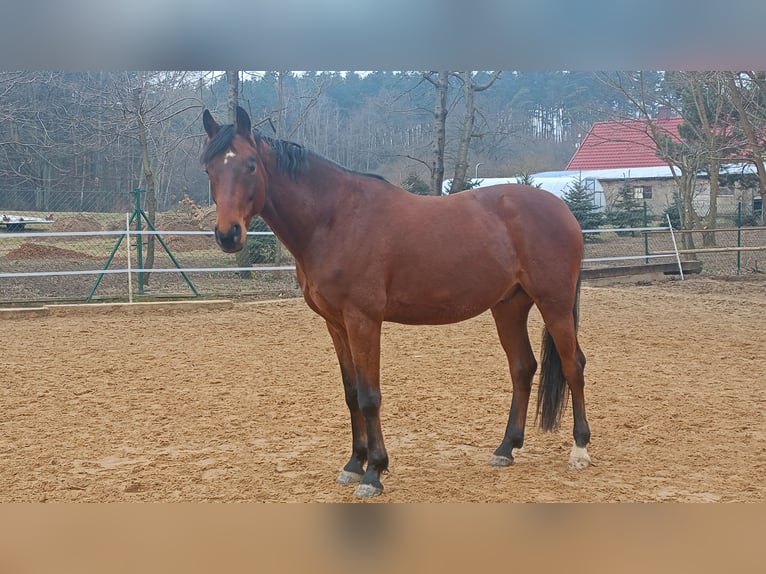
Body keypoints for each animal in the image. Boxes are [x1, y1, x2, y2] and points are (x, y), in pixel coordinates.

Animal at [201, 108, 592, 500]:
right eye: (209, 168)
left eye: (250, 164)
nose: (227, 234)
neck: (334, 219)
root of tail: (562, 209)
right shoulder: (336, 323)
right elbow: (351, 393)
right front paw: (353, 464)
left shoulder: (363, 320)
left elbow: (369, 396)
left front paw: (374, 471)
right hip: (509, 306)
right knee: (522, 368)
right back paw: (506, 448)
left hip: (554, 303)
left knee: (573, 365)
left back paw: (579, 449)